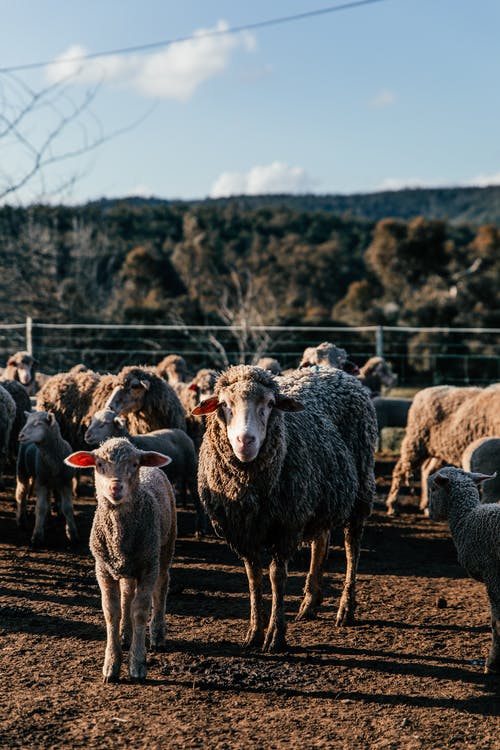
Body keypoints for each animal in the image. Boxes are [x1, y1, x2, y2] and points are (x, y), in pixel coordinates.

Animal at [15, 412, 78, 548]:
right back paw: (21, 521)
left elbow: (67, 508)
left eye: (38, 424)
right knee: (21, 495)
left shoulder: (66, 483)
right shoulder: (41, 483)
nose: (20, 435)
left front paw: (72, 534)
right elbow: (40, 508)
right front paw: (37, 536)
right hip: (22, 470)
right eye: (26, 422)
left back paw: (48, 520)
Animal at [65, 438, 177, 684]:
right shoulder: (103, 568)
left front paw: (137, 664)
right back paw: (126, 634)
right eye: (98, 464)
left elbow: (141, 611)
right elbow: (112, 611)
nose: (115, 488)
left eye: (134, 464)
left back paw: (157, 634)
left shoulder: (148, 566)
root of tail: (152, 467)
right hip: (127, 567)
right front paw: (111, 665)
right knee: (127, 594)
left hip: (165, 546)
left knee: (162, 586)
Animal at [193, 364, 376, 652]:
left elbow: (276, 577)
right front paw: (254, 632)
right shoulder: (242, 532)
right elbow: (253, 578)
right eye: (224, 404)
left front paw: (275, 635)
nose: (245, 441)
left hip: (361, 490)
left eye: (269, 404)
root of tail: (332, 370)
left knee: (351, 548)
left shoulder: (287, 526)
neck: (249, 490)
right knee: (321, 541)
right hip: (319, 496)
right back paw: (310, 602)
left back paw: (346, 609)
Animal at [384, 388, 490, 516]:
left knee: (427, 471)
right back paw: (392, 505)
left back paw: (425, 506)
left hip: (437, 450)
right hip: (416, 442)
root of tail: (422, 392)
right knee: (399, 471)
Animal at [426, 470, 500, 676]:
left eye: (432, 489)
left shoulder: (493, 574)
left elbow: (496, 622)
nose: (429, 513)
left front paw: (492, 664)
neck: (467, 520)